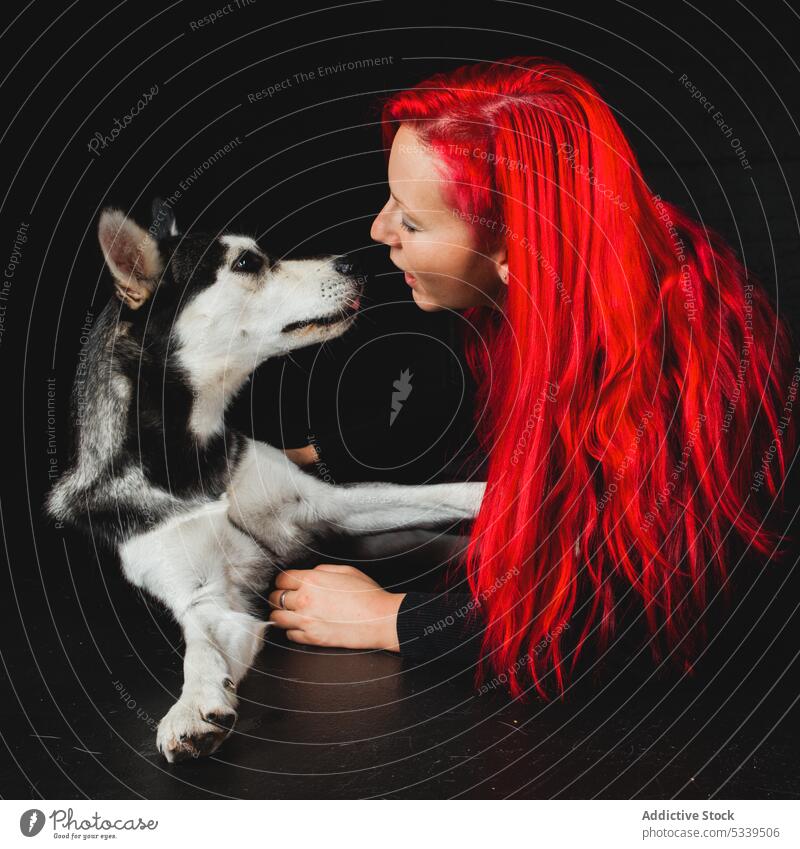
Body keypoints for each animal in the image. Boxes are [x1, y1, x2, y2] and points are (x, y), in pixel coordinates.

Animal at [47, 205, 484, 760]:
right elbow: (200, 652)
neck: (195, 458)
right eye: (247, 263)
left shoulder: (330, 504)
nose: (353, 261)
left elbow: (441, 494)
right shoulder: (208, 599)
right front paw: (190, 709)